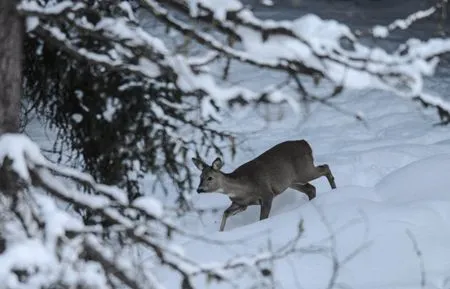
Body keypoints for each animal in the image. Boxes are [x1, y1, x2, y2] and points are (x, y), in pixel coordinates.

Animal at [192, 138, 336, 231]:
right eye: (200, 177)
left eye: (210, 178)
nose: (199, 189)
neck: (244, 187)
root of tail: (305, 143)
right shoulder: (241, 204)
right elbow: (225, 213)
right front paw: (220, 232)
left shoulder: (267, 194)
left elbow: (262, 219)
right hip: (292, 181)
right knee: (311, 188)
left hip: (304, 170)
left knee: (325, 167)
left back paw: (335, 190)